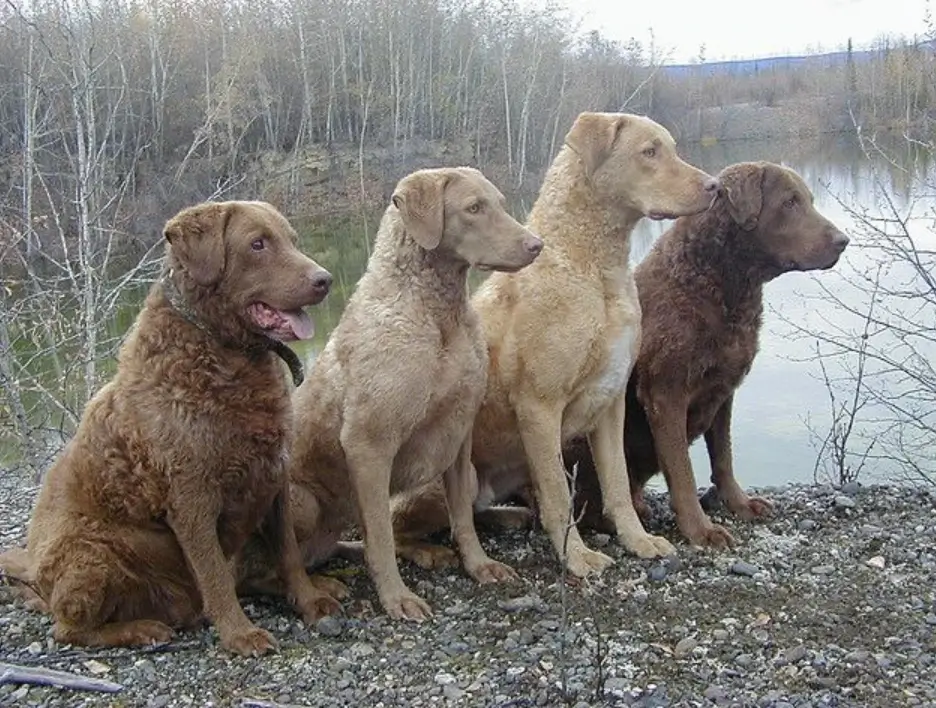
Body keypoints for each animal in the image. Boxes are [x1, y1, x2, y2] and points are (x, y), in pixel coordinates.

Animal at [0, 199, 336, 652]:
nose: (325, 280)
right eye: (258, 244)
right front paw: (240, 634)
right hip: (91, 553)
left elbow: (289, 554)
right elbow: (214, 574)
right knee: (67, 629)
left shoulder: (274, 476)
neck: (222, 354)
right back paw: (142, 629)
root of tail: (37, 578)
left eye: (293, 240)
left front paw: (310, 600)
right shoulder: (191, 496)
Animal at [278, 166, 540, 620]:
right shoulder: (368, 444)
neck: (437, 316)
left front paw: (479, 566)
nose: (536, 245)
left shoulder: (459, 434)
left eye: (501, 204)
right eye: (474, 208)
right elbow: (382, 536)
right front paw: (396, 597)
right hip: (301, 500)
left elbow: (463, 517)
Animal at [392, 110, 720, 576]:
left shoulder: (611, 402)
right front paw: (577, 557)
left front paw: (638, 540)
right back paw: (426, 550)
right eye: (649, 151)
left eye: (670, 147)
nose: (714, 186)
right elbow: (558, 494)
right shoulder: (539, 406)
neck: (594, 269)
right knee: (396, 524)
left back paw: (508, 516)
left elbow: (618, 483)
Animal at [568, 162, 852, 548]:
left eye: (807, 199)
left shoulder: (723, 390)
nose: (843, 240)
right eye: (790, 202)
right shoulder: (665, 394)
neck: (716, 285)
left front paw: (739, 503)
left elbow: (724, 457)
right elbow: (683, 471)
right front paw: (700, 529)